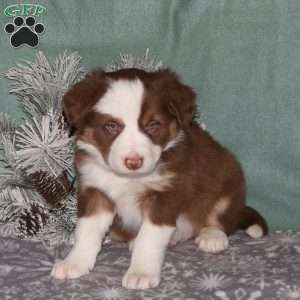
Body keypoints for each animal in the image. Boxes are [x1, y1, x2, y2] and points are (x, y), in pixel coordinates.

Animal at [50, 67, 268, 288]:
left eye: (153, 125)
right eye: (111, 126)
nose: (134, 161)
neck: (129, 178)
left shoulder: (166, 193)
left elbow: (149, 238)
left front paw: (141, 273)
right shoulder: (95, 189)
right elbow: (86, 231)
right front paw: (74, 262)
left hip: (228, 180)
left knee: (220, 219)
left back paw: (211, 236)